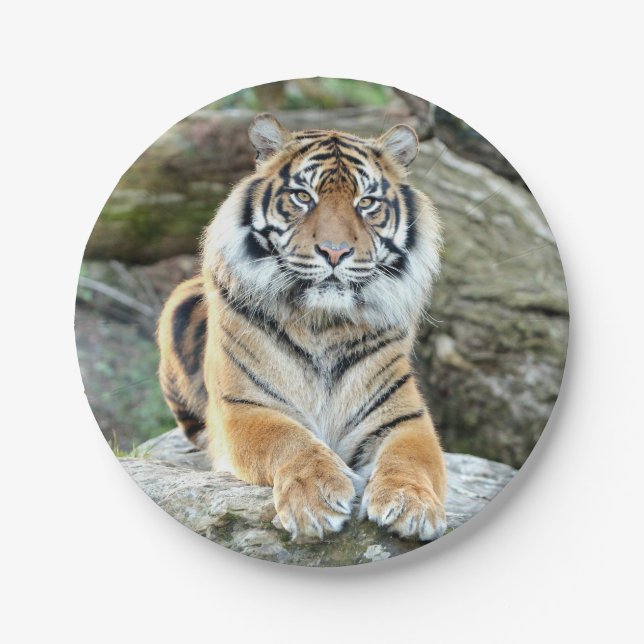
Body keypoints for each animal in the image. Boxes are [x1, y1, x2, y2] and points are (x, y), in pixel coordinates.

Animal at [157, 113, 446, 541]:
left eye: (366, 202)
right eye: (302, 197)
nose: (335, 252)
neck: (323, 323)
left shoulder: (403, 417)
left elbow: (412, 458)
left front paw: (412, 504)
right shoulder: (244, 406)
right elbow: (289, 439)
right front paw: (317, 498)